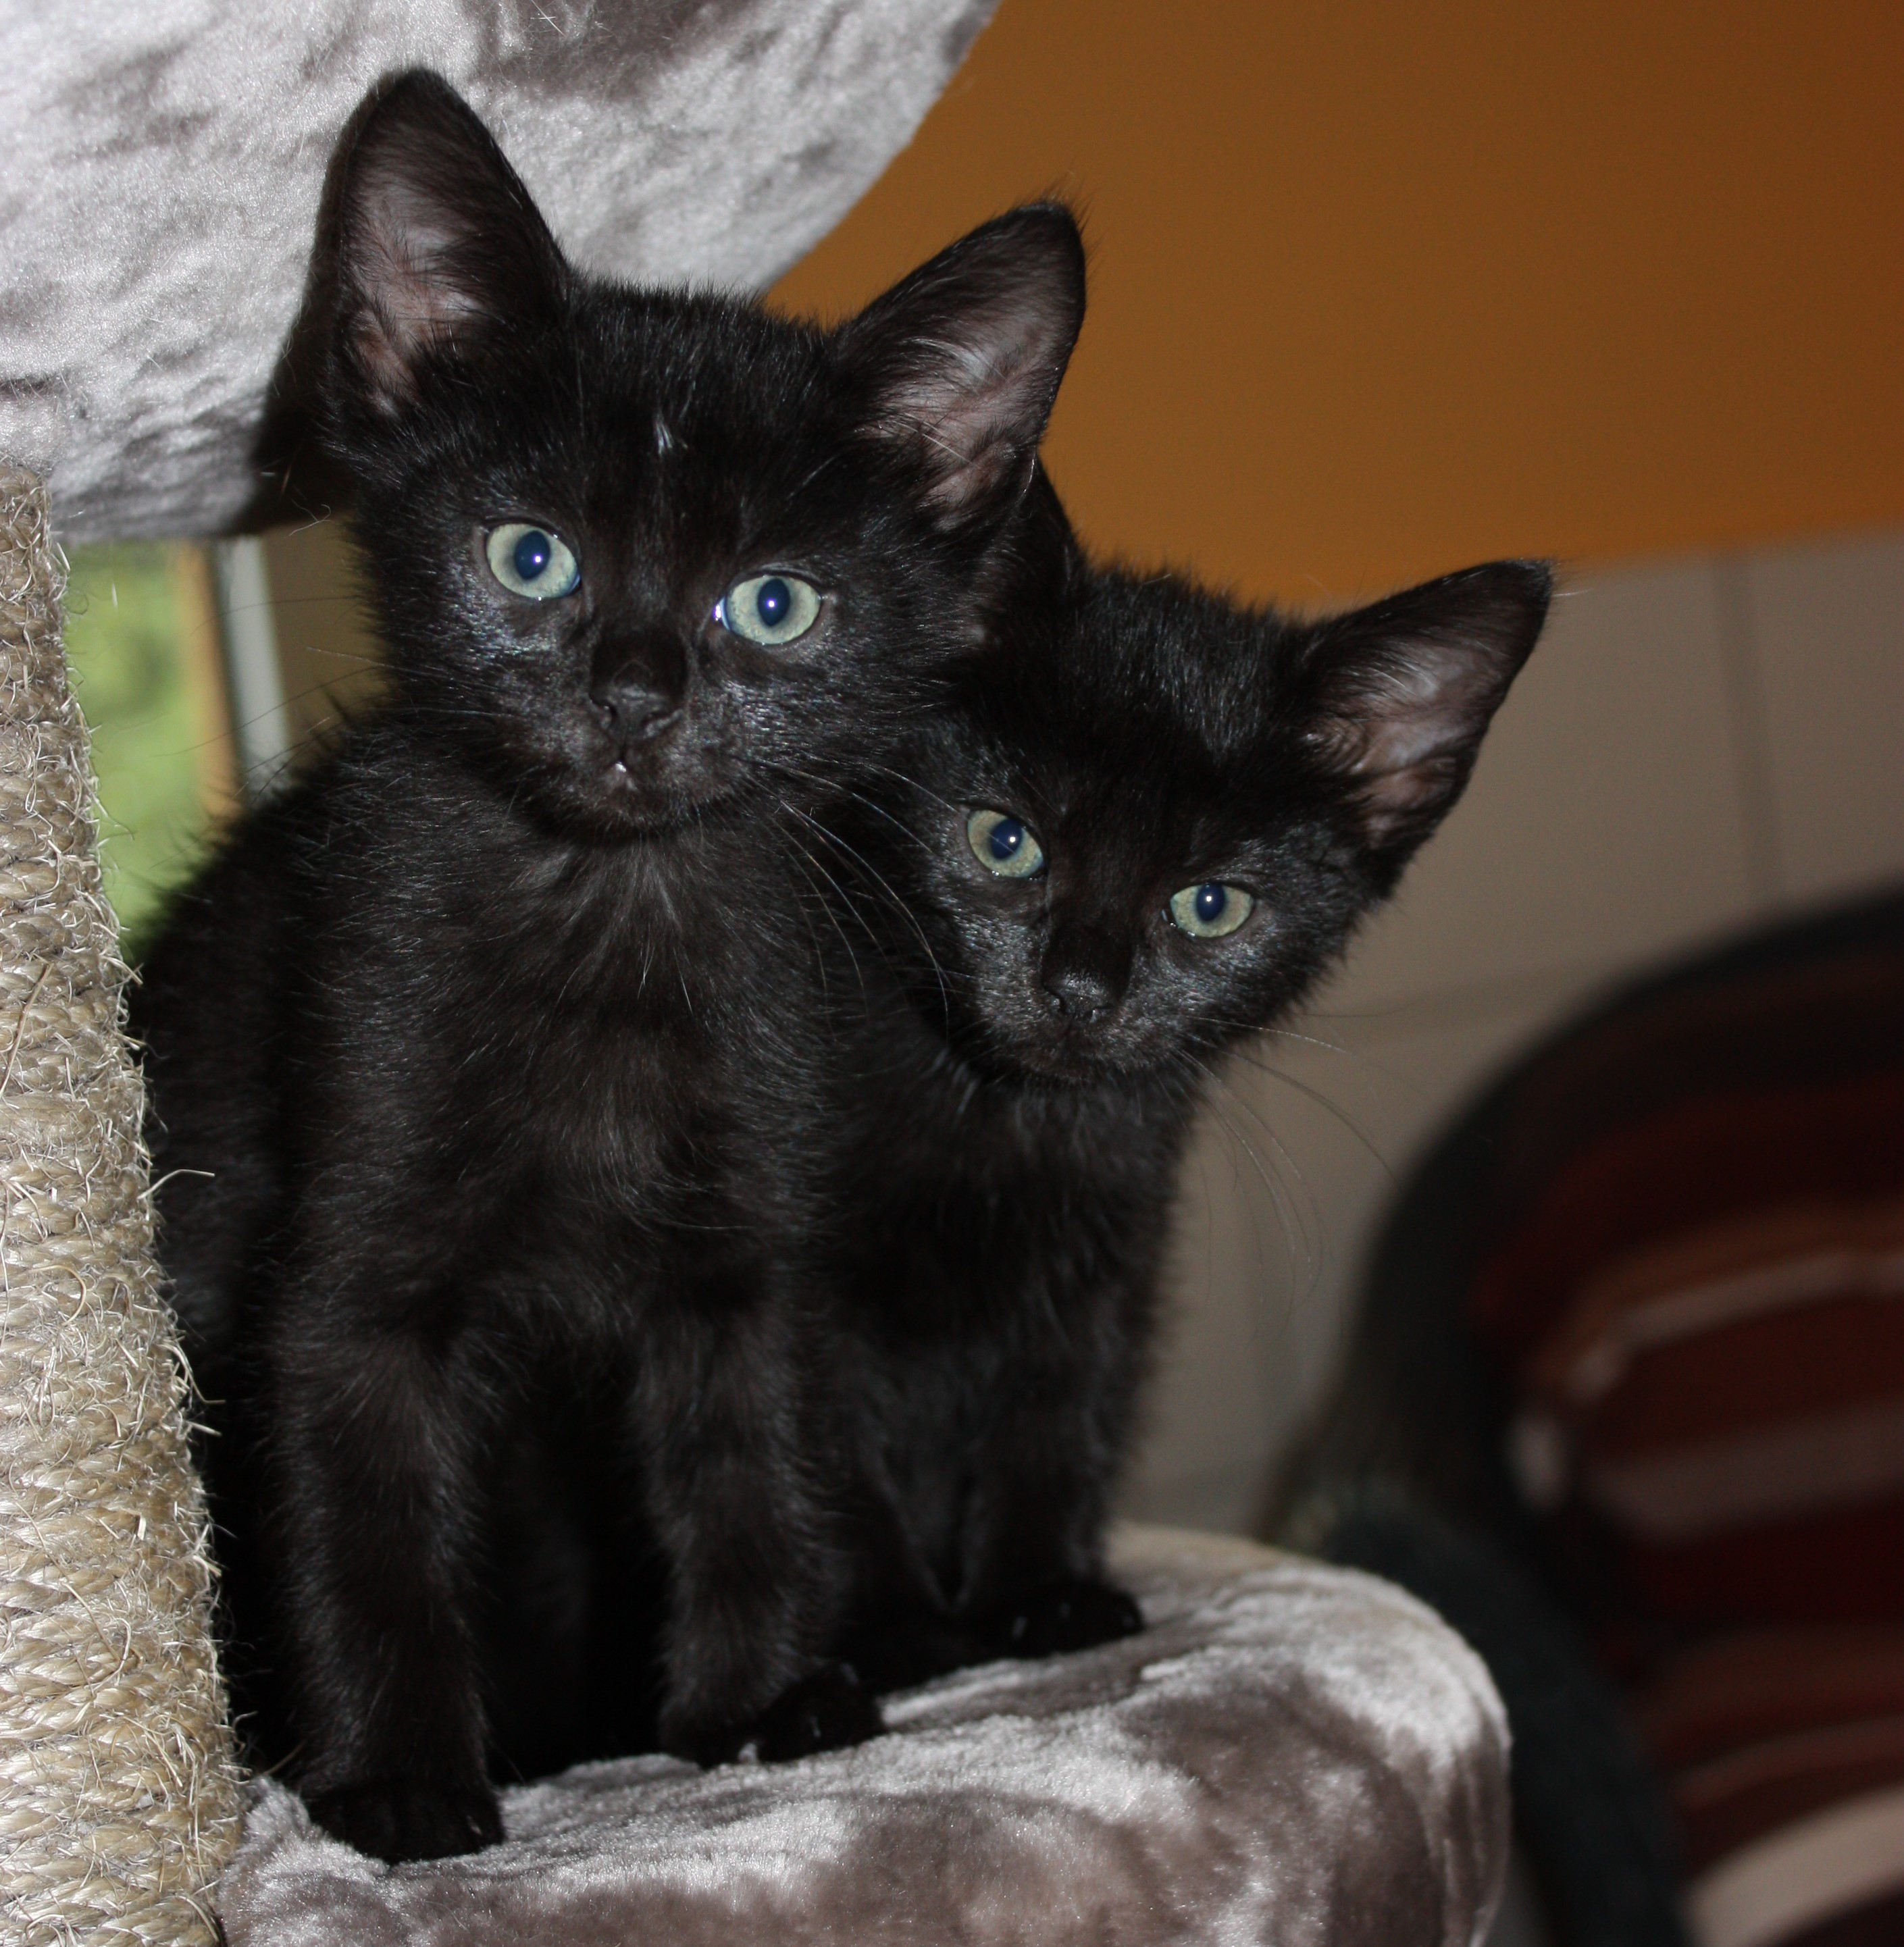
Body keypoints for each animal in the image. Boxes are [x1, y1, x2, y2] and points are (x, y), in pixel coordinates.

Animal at [130, 70, 1085, 1863]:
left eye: (772, 604)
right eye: (532, 558)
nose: (636, 698)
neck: (604, 918)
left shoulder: (744, 1243)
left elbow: (743, 1464)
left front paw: (756, 1704)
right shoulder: (349, 1250)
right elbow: (363, 1516)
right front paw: (398, 1783)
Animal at [813, 478, 1551, 1685]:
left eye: (1210, 905)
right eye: (1004, 839)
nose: (1077, 989)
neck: (1001, 1121)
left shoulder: (1113, 1248)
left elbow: (1060, 1412)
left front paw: (1043, 1599)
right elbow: (820, 1441)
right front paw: (899, 1638)